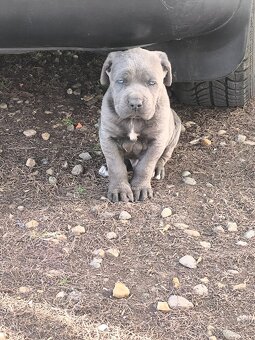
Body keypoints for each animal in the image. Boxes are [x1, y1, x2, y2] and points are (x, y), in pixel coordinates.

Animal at [98, 47, 180, 202]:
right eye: (121, 81)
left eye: (152, 82)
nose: (135, 103)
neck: (133, 120)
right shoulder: (107, 137)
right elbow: (116, 165)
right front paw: (120, 190)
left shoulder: (157, 140)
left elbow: (145, 166)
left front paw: (141, 188)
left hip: (175, 129)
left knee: (164, 156)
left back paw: (158, 169)